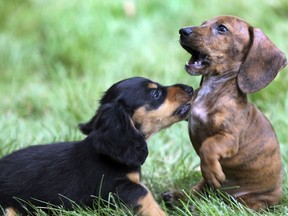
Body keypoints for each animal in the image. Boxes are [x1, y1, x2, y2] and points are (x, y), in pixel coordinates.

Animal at [163, 15, 286, 211]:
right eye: (203, 23)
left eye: (222, 29)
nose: (183, 31)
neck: (213, 89)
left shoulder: (229, 137)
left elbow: (208, 146)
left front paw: (212, 171)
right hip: (204, 187)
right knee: (197, 193)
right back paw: (178, 198)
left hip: (251, 201)